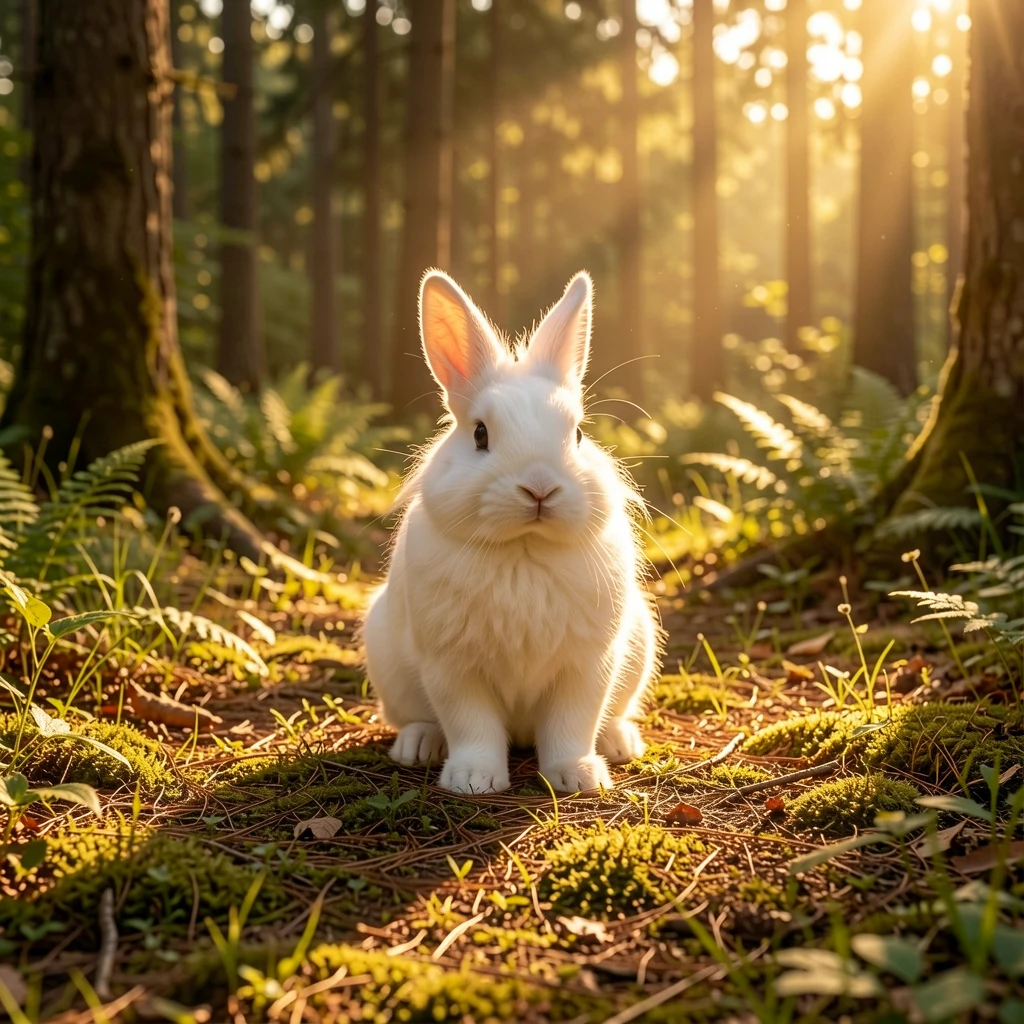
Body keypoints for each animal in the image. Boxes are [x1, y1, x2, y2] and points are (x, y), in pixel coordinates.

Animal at [362, 268, 661, 794]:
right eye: (480, 434)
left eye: (578, 434)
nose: (539, 486)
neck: (524, 549)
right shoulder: (452, 667)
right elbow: (471, 725)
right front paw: (473, 780)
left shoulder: (587, 665)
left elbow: (571, 724)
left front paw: (577, 777)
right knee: (418, 718)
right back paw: (417, 747)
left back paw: (619, 742)